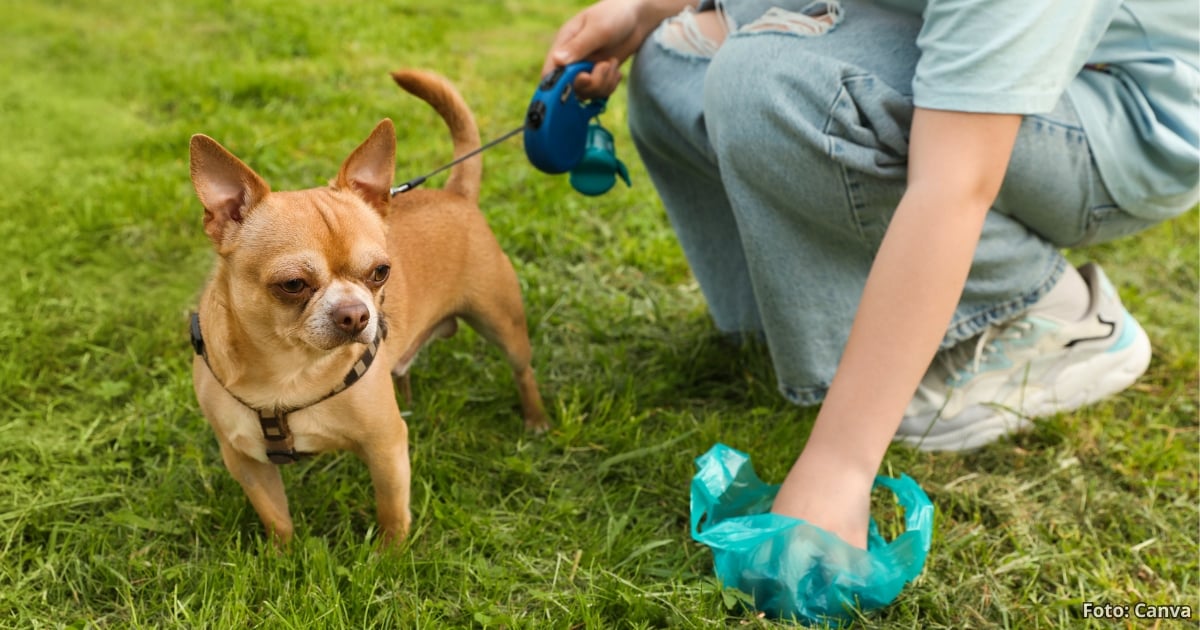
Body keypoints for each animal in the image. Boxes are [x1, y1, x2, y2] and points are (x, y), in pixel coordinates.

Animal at [188, 66, 549, 542]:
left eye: (380, 272)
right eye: (292, 284)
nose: (356, 314)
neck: (288, 373)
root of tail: (455, 193)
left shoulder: (386, 446)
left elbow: (392, 510)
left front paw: (390, 555)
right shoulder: (246, 461)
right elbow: (277, 518)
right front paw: (284, 554)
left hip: (501, 323)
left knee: (522, 370)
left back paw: (535, 418)